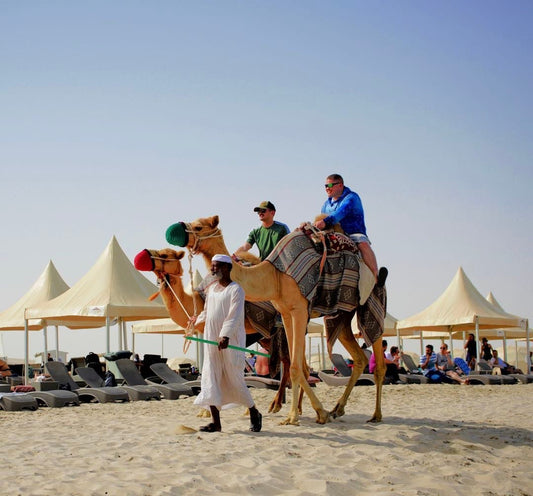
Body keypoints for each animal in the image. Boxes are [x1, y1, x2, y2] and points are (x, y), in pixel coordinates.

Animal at [132, 246, 290, 412]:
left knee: (290, 363)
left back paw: (281, 407)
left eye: (164, 255)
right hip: (266, 337)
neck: (197, 301)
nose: (140, 256)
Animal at [163, 215, 386, 424]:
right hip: (341, 316)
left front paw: (294, 417)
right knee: (359, 358)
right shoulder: (286, 313)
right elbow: (298, 367)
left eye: (199, 227)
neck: (274, 276)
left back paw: (375, 415)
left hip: (371, 305)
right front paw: (316, 413)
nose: (174, 230)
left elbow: (296, 367)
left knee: (378, 359)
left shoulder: (299, 310)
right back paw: (337, 409)